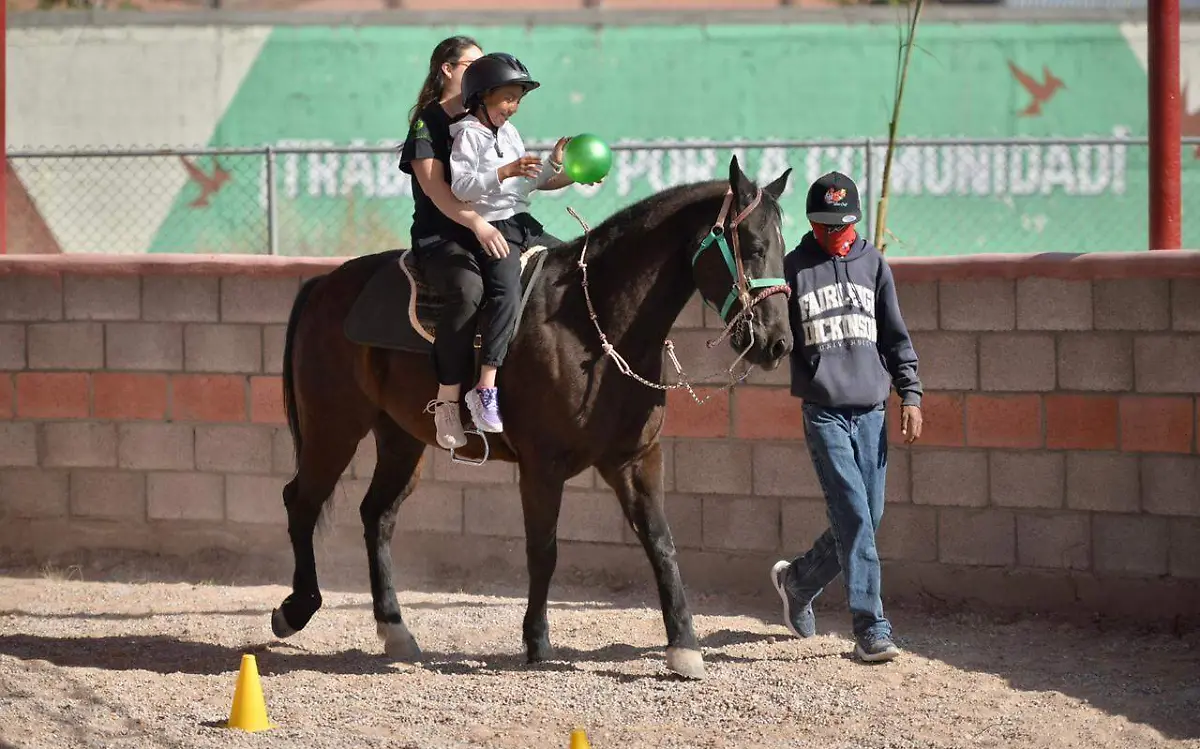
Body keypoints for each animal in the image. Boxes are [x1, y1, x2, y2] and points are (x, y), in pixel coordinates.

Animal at [273, 154, 796, 681]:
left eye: (783, 250)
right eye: (753, 247)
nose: (778, 343)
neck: (591, 325)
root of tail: (324, 285)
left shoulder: (635, 460)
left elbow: (661, 543)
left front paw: (684, 645)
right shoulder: (543, 467)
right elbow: (544, 551)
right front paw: (537, 641)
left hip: (401, 438)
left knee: (376, 515)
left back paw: (395, 629)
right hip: (334, 426)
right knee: (301, 500)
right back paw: (295, 609)